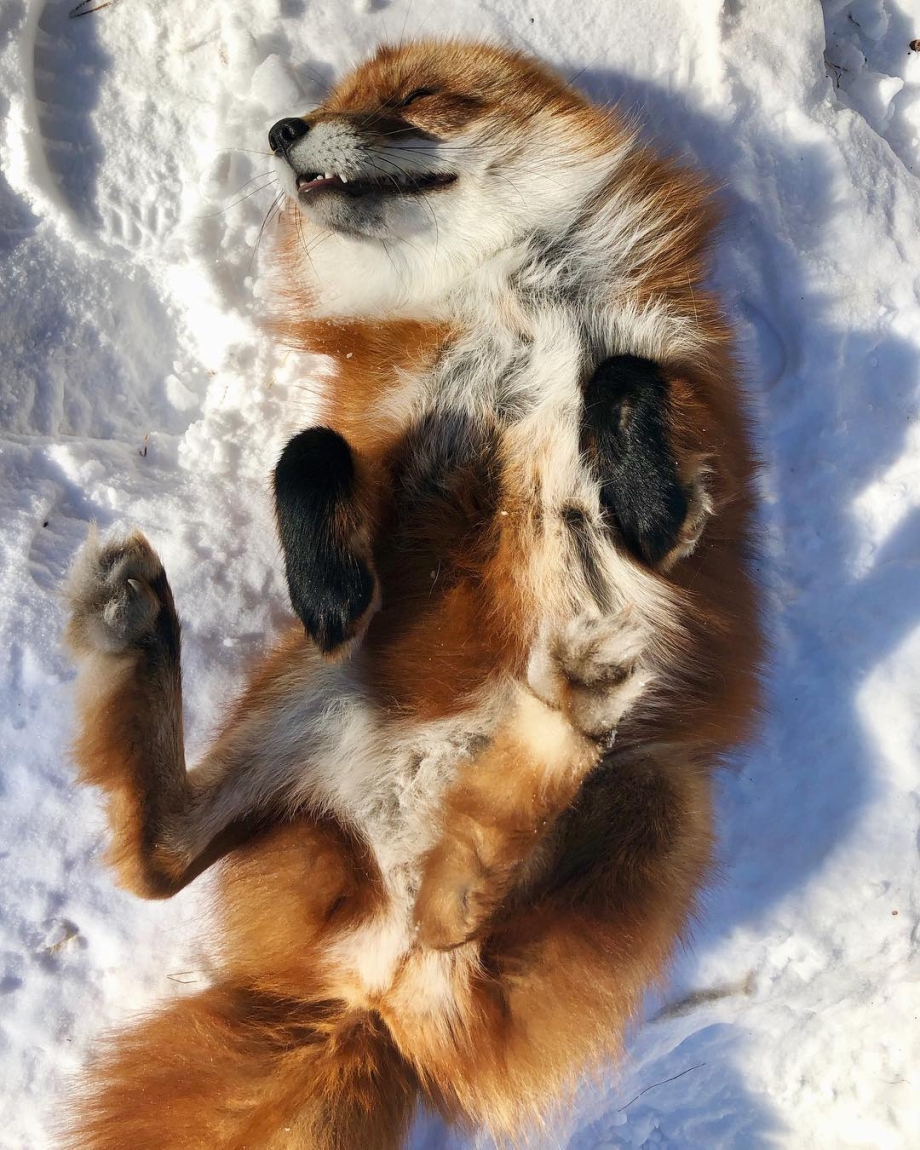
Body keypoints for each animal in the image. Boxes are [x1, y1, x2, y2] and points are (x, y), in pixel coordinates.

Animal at [63, 39, 761, 1150]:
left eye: (415, 99)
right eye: (332, 102)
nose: (283, 132)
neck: (507, 306)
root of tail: (366, 994)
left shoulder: (683, 420)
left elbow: (624, 388)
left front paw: (635, 482)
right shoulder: (390, 429)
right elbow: (307, 452)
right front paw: (332, 584)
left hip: (659, 797)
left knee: (453, 923)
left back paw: (553, 728)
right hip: (299, 693)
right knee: (164, 857)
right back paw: (136, 626)